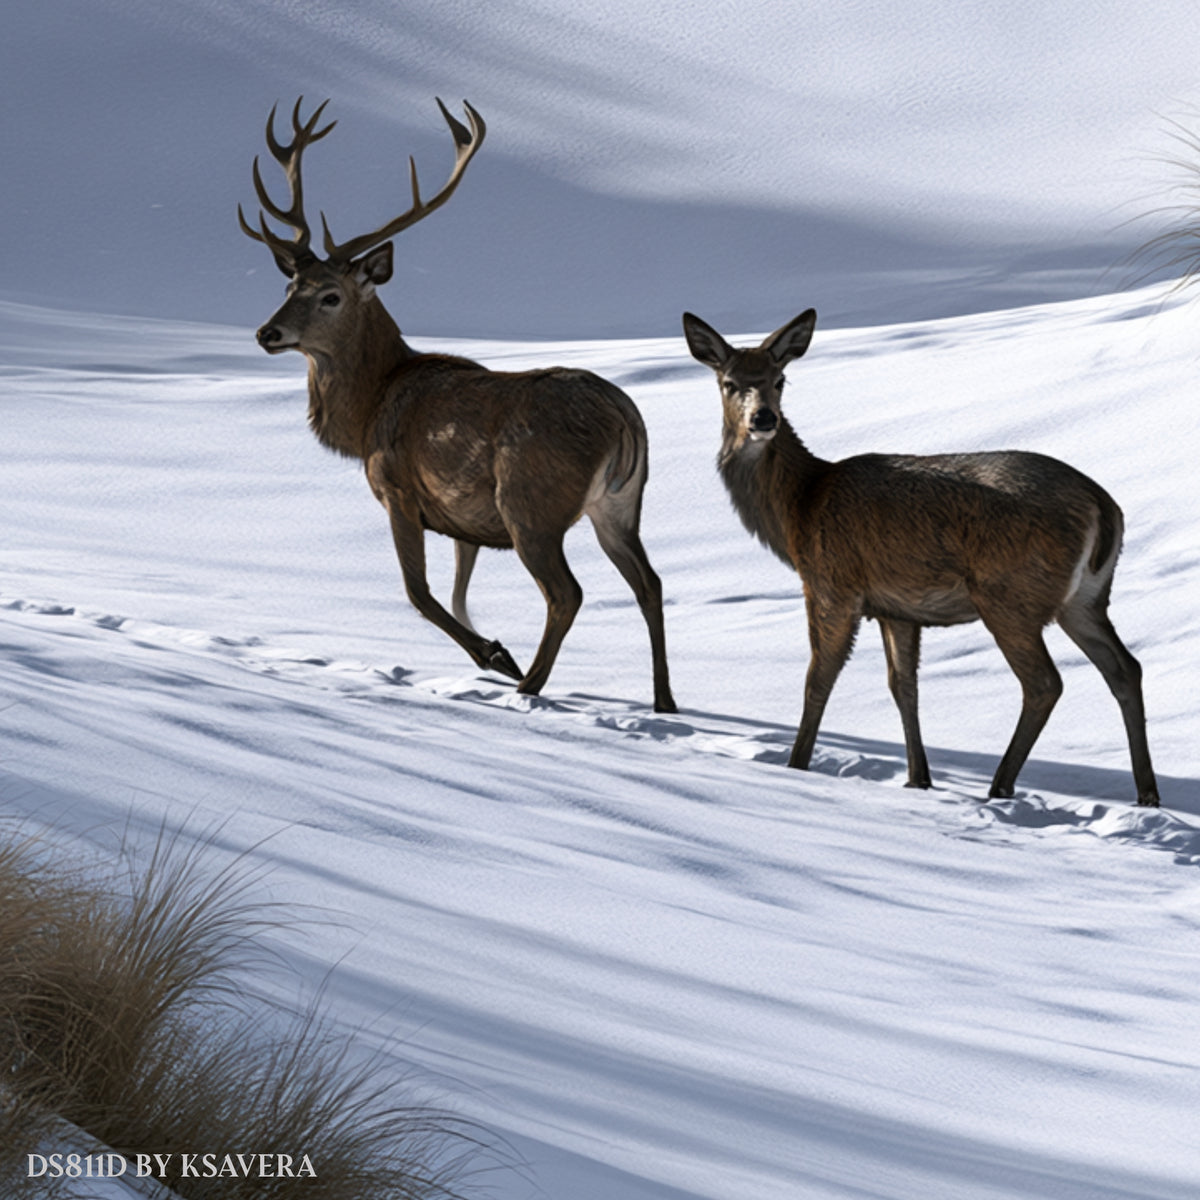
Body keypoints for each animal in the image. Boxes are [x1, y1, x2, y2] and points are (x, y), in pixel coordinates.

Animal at [239, 98, 675, 712]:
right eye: (288, 286)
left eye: (331, 295)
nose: (267, 333)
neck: (368, 414)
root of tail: (625, 422)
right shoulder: (463, 522)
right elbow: (458, 592)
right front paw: (490, 648)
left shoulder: (398, 488)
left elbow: (419, 593)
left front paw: (496, 654)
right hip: (619, 504)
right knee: (650, 583)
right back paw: (664, 701)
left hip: (531, 502)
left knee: (567, 592)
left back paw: (528, 684)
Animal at [682, 309, 1159, 806]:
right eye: (730, 382)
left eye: (780, 379)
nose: (764, 418)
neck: (800, 507)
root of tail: (1104, 508)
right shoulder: (897, 608)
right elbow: (903, 685)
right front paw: (918, 779)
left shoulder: (832, 584)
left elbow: (819, 677)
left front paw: (796, 767)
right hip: (1084, 599)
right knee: (1125, 668)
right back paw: (1147, 794)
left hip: (1011, 595)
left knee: (1045, 682)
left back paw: (999, 787)